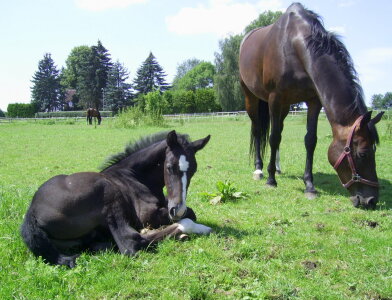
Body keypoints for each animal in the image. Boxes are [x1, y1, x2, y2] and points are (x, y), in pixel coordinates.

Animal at [20, 131, 211, 268]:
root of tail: (32, 213)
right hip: (108, 193)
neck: (133, 176)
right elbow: (189, 215)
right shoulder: (148, 215)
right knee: (129, 243)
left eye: (193, 170)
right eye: (170, 167)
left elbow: (191, 211)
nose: (177, 210)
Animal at [239, 2, 382, 209]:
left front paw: (309, 185)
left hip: (284, 107)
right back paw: (259, 169)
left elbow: (310, 140)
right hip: (252, 98)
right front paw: (271, 180)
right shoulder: (275, 98)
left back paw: (278, 168)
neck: (294, 44)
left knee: (278, 129)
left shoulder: (314, 101)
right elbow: (273, 137)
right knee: (258, 130)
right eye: (363, 154)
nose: (370, 200)